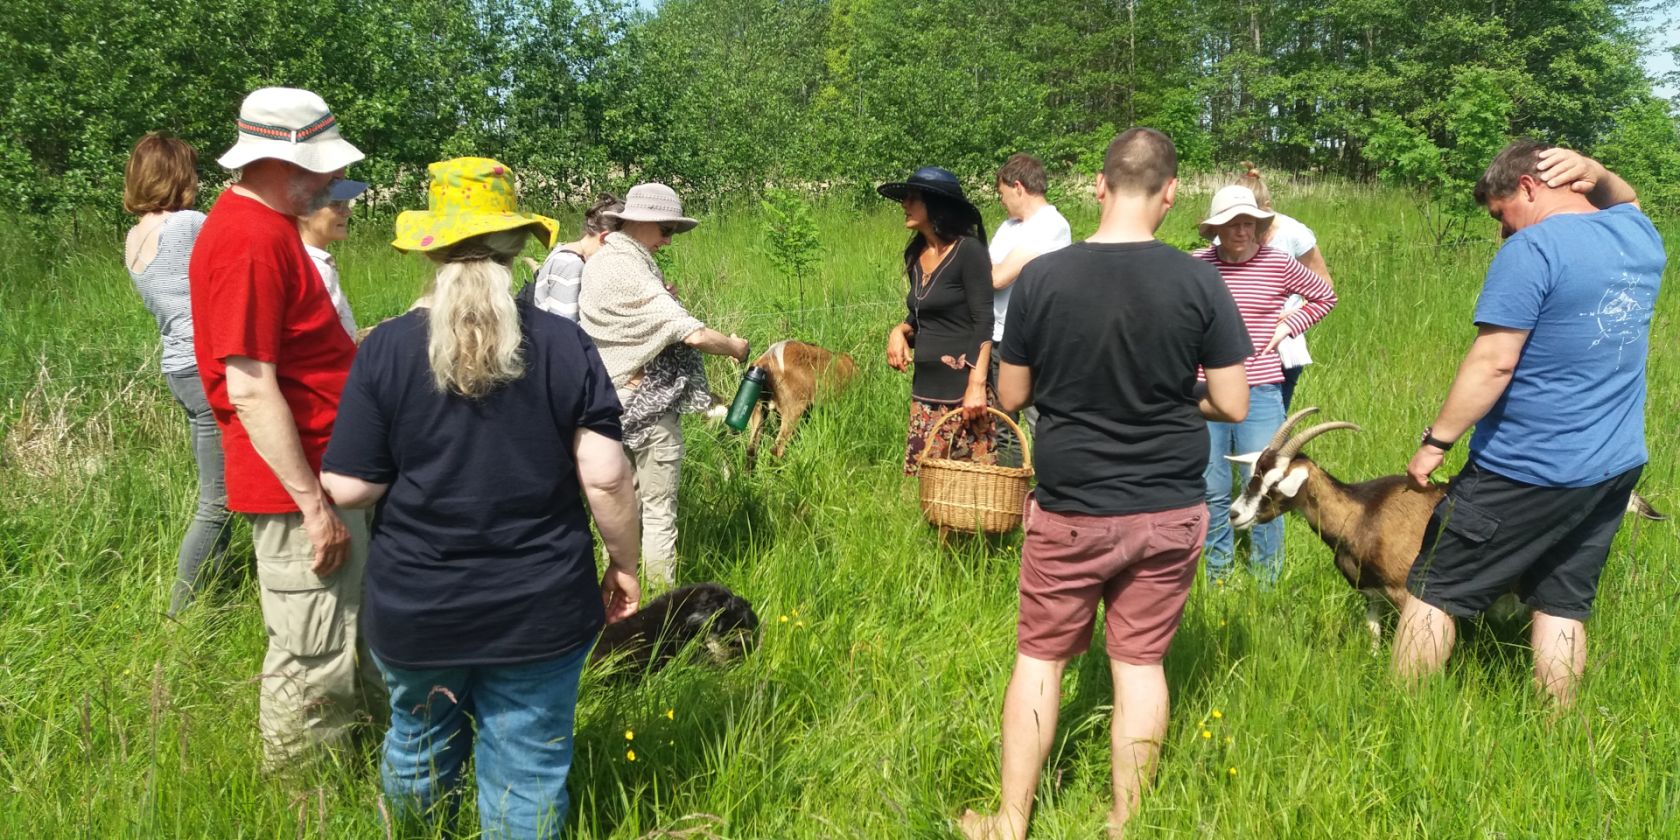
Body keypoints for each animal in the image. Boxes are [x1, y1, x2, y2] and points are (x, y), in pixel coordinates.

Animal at [1229, 404, 1659, 641]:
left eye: (1275, 482)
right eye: (1254, 472)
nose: (1235, 514)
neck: (1364, 512)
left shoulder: (1406, 591)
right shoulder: (1371, 594)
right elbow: (1373, 636)